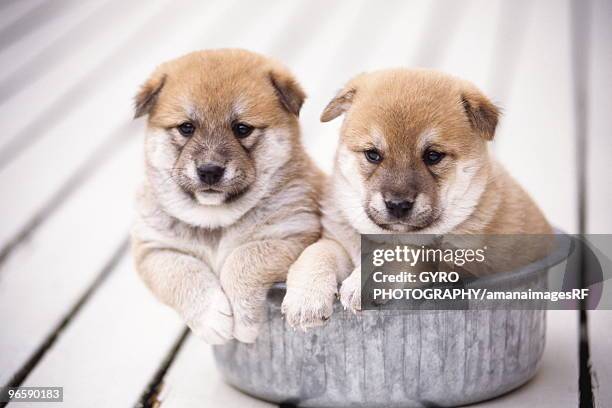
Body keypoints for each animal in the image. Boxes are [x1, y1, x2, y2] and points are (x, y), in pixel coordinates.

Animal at [132, 50, 322, 344]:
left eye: (242, 129)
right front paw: (211, 319)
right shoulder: (154, 250)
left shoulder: (292, 233)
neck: (215, 220)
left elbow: (243, 257)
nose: (209, 171)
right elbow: (183, 273)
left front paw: (243, 322)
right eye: (186, 128)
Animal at [280, 67, 548, 328]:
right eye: (372, 154)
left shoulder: (455, 261)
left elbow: (405, 252)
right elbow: (315, 254)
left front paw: (364, 281)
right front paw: (306, 300)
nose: (398, 205)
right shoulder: (338, 243)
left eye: (433, 156)